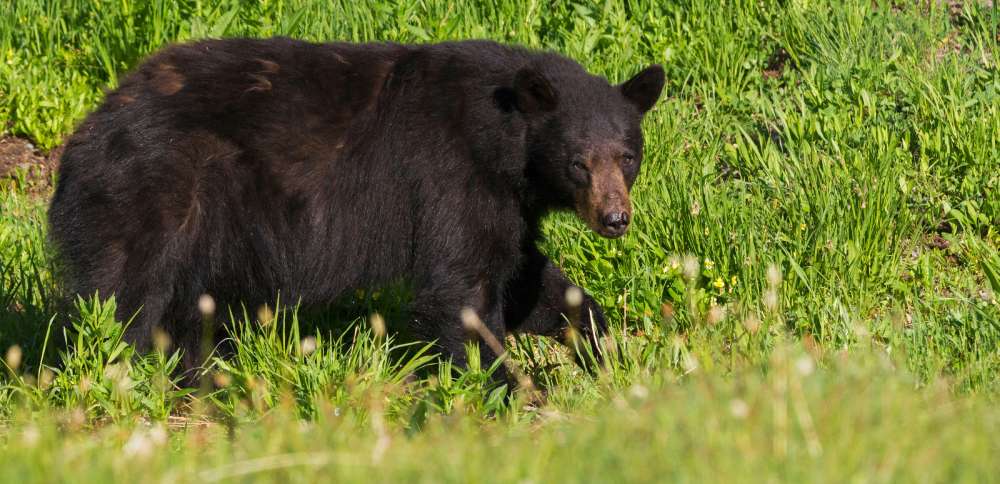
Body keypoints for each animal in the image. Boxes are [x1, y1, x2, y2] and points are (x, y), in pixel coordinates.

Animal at [48, 38, 664, 383]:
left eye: (627, 157)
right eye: (578, 163)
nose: (615, 219)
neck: (504, 141)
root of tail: (89, 128)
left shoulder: (509, 200)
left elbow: (523, 278)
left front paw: (602, 350)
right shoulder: (451, 174)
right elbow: (464, 285)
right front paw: (500, 386)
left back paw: (199, 378)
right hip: (155, 192)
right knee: (123, 296)